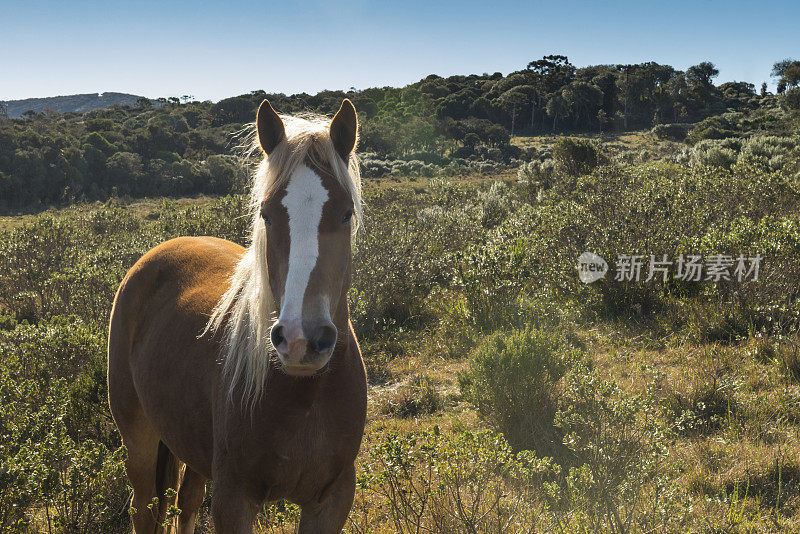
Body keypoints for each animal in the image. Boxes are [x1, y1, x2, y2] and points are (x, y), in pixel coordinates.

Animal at [108, 98, 368, 532]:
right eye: (266, 213)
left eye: (346, 213)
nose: (300, 340)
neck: (306, 395)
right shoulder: (234, 498)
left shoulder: (331, 500)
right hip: (138, 437)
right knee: (144, 508)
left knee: (187, 502)